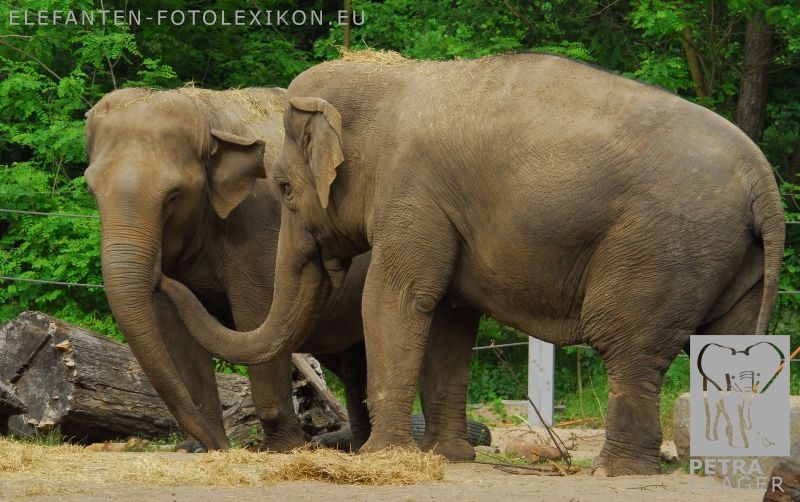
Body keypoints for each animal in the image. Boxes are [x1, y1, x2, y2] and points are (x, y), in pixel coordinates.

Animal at [159, 51, 784, 475]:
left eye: (285, 189)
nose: (165, 278)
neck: (392, 80)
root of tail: (764, 179)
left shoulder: (413, 195)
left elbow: (395, 297)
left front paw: (384, 458)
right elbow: (450, 320)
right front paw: (450, 456)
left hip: (663, 246)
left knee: (628, 344)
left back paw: (618, 472)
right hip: (735, 258)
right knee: (717, 344)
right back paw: (720, 472)